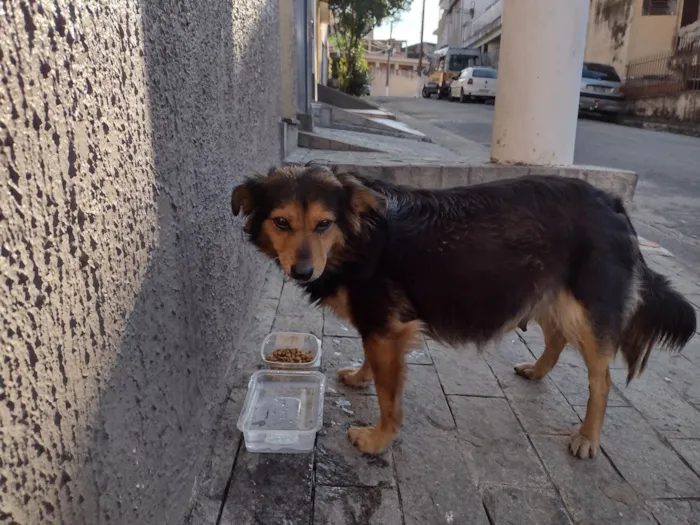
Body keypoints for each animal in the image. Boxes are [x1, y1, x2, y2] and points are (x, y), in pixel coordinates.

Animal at [232, 164, 696, 458]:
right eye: (282, 223)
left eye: (324, 224)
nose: (303, 271)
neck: (359, 236)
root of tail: (614, 203)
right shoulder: (378, 324)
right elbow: (370, 361)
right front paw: (361, 377)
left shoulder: (386, 326)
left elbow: (388, 395)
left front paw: (379, 439)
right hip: (546, 292)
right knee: (557, 336)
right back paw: (537, 370)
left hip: (588, 311)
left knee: (601, 381)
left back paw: (587, 436)